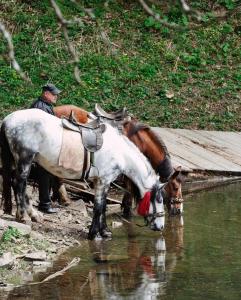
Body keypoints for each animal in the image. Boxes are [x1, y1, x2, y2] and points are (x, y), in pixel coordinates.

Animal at [0, 109, 165, 239]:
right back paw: (25, 215)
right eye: (159, 200)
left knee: (15, 184)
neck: (121, 153)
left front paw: (104, 231)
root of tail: (7, 119)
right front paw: (94, 234)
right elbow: (98, 207)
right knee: (20, 185)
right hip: (25, 159)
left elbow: (102, 206)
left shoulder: (102, 182)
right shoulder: (103, 181)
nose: (161, 227)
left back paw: (28, 215)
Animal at [53, 105, 184, 216]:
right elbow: (129, 190)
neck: (141, 141)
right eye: (175, 188)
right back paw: (64, 199)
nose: (179, 210)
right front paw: (127, 211)